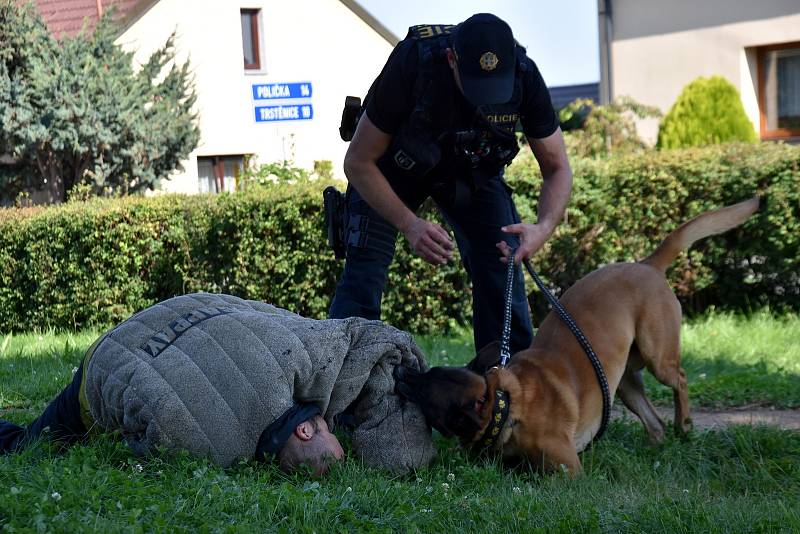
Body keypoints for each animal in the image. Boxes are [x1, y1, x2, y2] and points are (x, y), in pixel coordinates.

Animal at [396, 199, 760, 476]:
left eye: (425, 390)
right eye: (428, 372)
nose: (402, 372)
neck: (507, 403)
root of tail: (646, 265)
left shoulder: (567, 471)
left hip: (658, 356)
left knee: (680, 379)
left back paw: (683, 424)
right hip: (622, 384)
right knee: (653, 421)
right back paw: (657, 449)